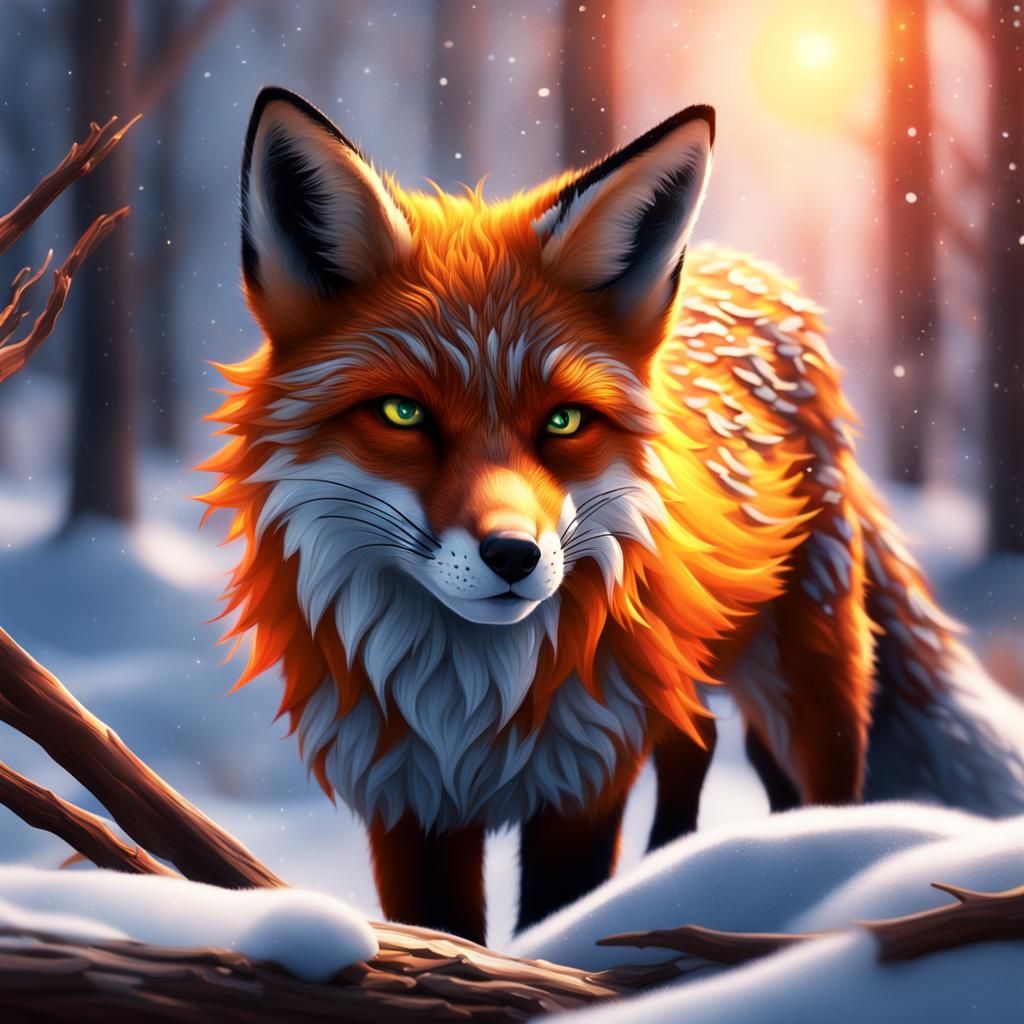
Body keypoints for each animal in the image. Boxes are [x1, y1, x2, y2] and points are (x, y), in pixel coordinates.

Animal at [202, 86, 1024, 945]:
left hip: (807, 667)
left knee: (811, 774)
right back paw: (677, 870)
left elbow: (554, 912)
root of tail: (753, 271)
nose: (513, 555)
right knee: (699, 742)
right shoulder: (404, 796)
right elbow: (443, 928)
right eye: (403, 414)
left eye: (564, 422)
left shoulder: (583, 778)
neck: (469, 698)